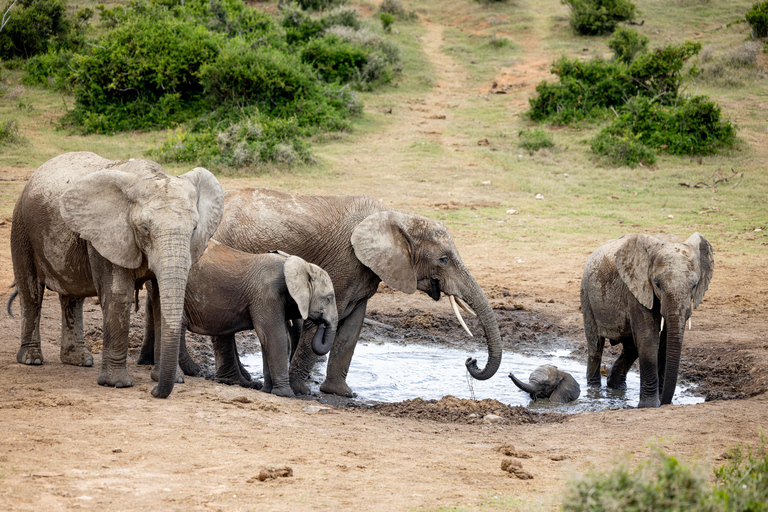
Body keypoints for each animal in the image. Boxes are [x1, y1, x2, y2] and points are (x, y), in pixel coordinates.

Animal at [9, 152, 223, 398]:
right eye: (144, 228)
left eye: (195, 228)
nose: (154, 392)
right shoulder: (108, 235)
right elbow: (118, 295)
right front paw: (117, 384)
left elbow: (160, 300)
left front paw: (174, 379)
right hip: (21, 227)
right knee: (31, 292)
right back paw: (31, 359)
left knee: (72, 296)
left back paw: (78, 360)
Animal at [177, 241, 338, 397]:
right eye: (329, 299)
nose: (322, 322)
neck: (301, 265)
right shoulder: (267, 295)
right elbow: (275, 338)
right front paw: (286, 394)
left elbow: (266, 340)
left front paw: (267, 390)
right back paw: (192, 372)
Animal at [581, 233, 713, 408]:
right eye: (657, 284)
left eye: (695, 285)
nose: (665, 403)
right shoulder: (636, 288)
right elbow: (648, 338)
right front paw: (650, 406)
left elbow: (665, 342)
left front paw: (661, 403)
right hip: (587, 295)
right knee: (596, 345)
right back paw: (594, 390)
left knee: (631, 348)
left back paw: (616, 386)